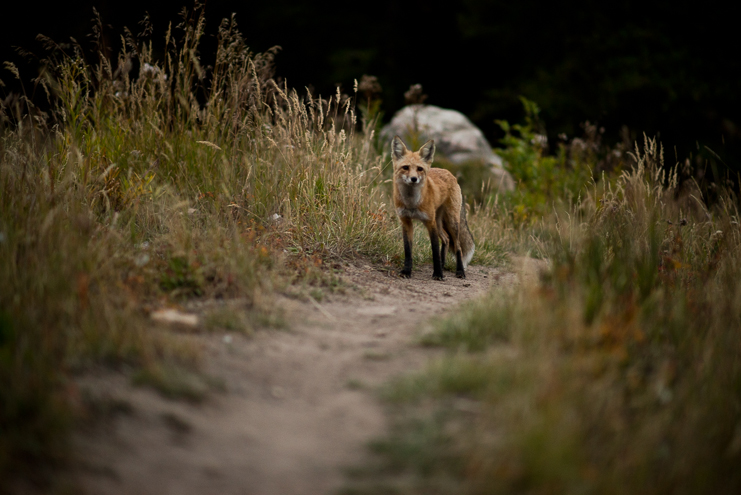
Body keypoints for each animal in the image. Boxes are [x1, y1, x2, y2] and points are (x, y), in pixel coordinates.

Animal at [394, 136, 474, 280]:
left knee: (458, 246)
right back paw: (442, 265)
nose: (413, 179)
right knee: (446, 239)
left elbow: (435, 250)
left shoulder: (429, 222)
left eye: (419, 169)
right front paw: (406, 271)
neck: (412, 202)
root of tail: (449, 173)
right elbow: (408, 251)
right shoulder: (405, 221)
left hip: (451, 221)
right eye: (405, 167)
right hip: (439, 222)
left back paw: (459, 271)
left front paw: (438, 274)